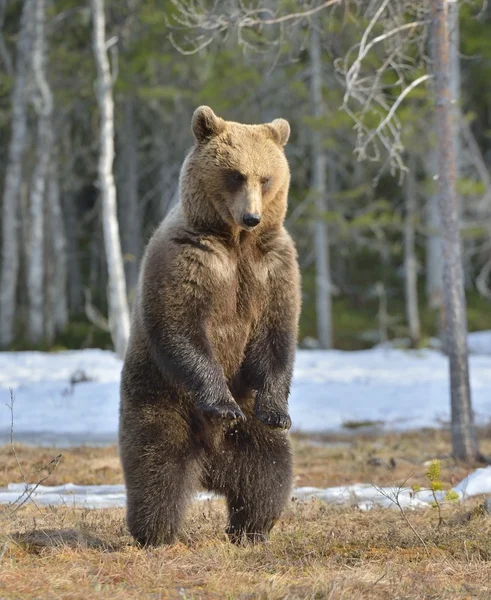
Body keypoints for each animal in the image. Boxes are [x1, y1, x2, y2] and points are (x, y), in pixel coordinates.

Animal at [120, 105, 302, 548]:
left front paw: (279, 411)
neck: (234, 242)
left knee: (268, 473)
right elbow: (180, 326)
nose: (252, 216)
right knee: (157, 469)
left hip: (249, 435)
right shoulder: (188, 260)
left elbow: (277, 335)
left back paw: (251, 529)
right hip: (159, 399)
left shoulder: (272, 267)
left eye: (265, 177)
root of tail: (211, 466)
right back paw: (155, 534)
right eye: (235, 174)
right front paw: (222, 403)